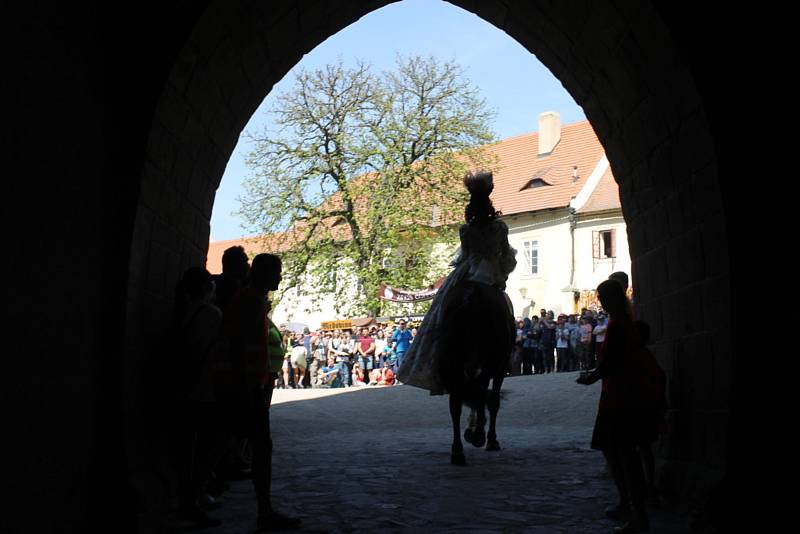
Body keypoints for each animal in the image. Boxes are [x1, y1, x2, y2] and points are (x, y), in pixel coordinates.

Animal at [440, 280, 516, 464]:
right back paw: (479, 435)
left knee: (456, 403)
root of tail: (472, 294)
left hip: (454, 364)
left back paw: (458, 451)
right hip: (490, 363)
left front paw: (471, 428)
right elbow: (493, 400)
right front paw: (489, 438)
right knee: (480, 392)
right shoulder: (499, 368)